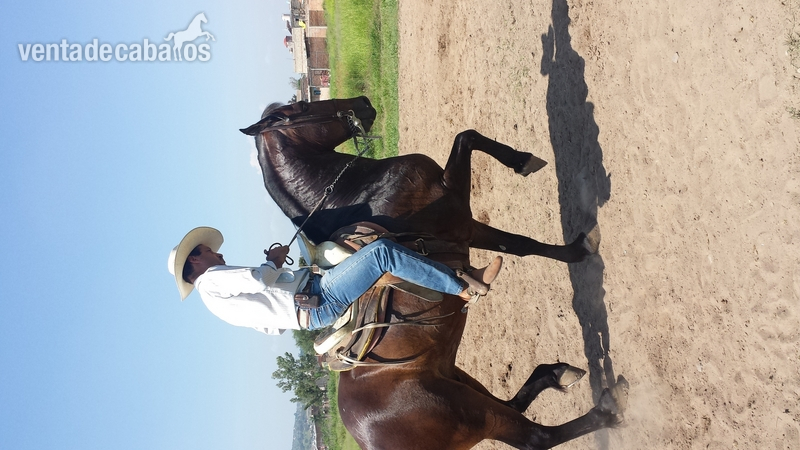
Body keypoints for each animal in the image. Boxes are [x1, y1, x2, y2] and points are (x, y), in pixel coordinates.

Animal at [241, 97, 626, 449]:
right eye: (303, 107)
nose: (362, 103)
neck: (360, 193)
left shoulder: (464, 228)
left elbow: (520, 244)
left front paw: (577, 248)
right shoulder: (455, 203)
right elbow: (466, 137)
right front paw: (523, 162)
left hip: (458, 378)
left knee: (514, 403)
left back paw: (557, 372)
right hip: (472, 412)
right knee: (537, 437)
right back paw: (609, 408)